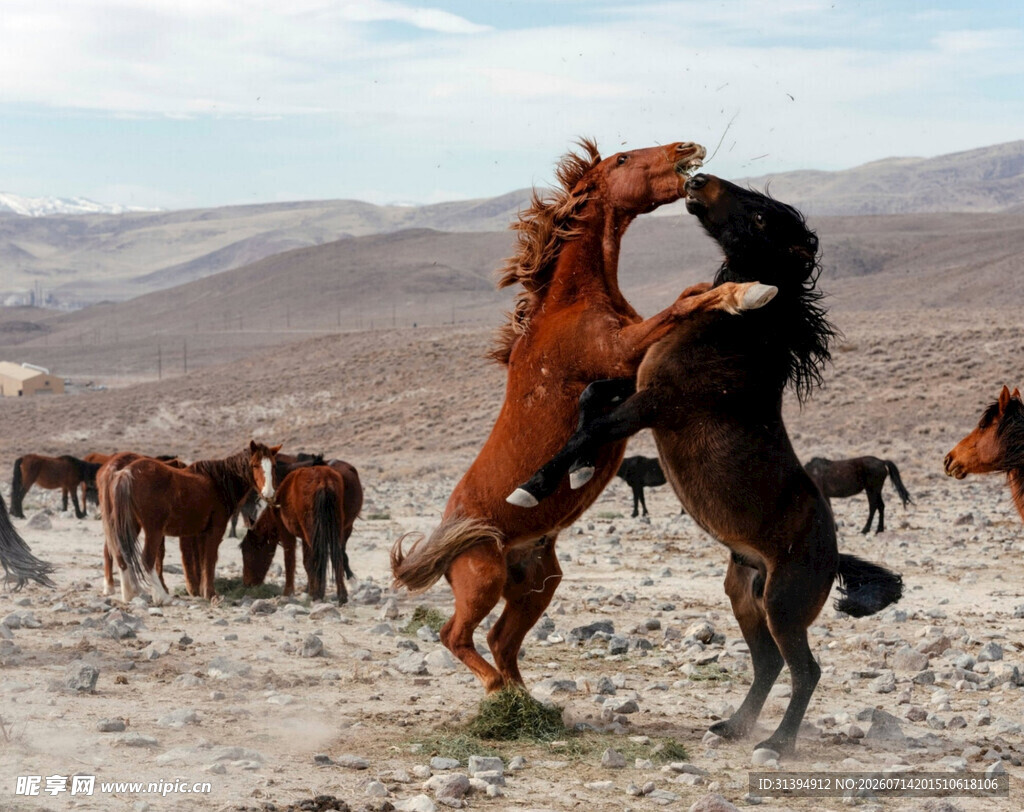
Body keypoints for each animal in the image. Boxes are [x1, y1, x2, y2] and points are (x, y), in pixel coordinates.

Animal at [106, 441, 280, 603]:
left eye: (273, 465)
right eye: (255, 464)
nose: (269, 493)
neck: (218, 482)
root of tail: (127, 473)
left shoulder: (201, 534)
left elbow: (202, 562)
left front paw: (202, 591)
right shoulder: (215, 531)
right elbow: (209, 561)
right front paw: (211, 594)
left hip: (131, 526)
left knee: (122, 555)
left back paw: (129, 595)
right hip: (153, 530)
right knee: (147, 559)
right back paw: (162, 597)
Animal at [240, 460, 362, 604]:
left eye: (246, 551)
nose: (247, 583)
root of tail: (324, 480)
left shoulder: (286, 532)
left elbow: (290, 560)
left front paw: (289, 592)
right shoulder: (305, 537)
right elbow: (307, 563)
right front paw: (310, 589)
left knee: (320, 556)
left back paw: (319, 594)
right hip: (337, 529)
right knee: (337, 555)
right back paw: (341, 595)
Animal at [390, 138, 778, 695]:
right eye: (621, 160)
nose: (686, 147)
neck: (570, 304)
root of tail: (446, 540)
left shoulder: (633, 361)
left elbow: (685, 300)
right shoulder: (621, 353)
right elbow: (683, 304)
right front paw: (747, 293)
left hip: (538, 582)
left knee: (501, 641)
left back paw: (528, 700)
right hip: (482, 577)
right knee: (455, 635)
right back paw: (498, 692)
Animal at [508, 173, 903, 756]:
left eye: (762, 217)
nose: (698, 181)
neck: (734, 336)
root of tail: (832, 557)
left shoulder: (657, 404)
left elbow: (594, 425)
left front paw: (533, 487)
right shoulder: (639, 388)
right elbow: (590, 398)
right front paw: (578, 470)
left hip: (784, 605)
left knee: (805, 670)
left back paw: (774, 745)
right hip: (746, 597)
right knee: (767, 665)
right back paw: (733, 728)